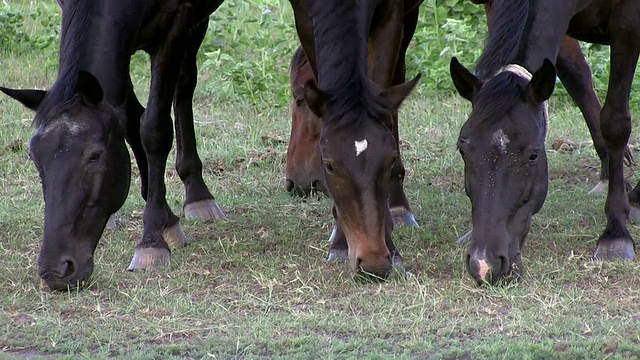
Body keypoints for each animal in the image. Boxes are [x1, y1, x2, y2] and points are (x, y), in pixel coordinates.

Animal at [0, 0, 225, 290]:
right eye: (36, 159)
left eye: (95, 155)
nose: (56, 270)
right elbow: (130, 119)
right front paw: (164, 217)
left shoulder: (176, 26)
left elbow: (153, 128)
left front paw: (152, 241)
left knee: (185, 83)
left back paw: (198, 194)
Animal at [288, 0, 422, 278]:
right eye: (328, 164)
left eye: (390, 158)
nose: (373, 261)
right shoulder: (304, 18)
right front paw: (340, 242)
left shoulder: (392, 15)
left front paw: (390, 247)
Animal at [450, 0, 640, 286]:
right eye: (463, 149)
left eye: (534, 155)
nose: (484, 264)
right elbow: (577, 76)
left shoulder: (628, 23)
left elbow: (615, 122)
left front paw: (616, 231)